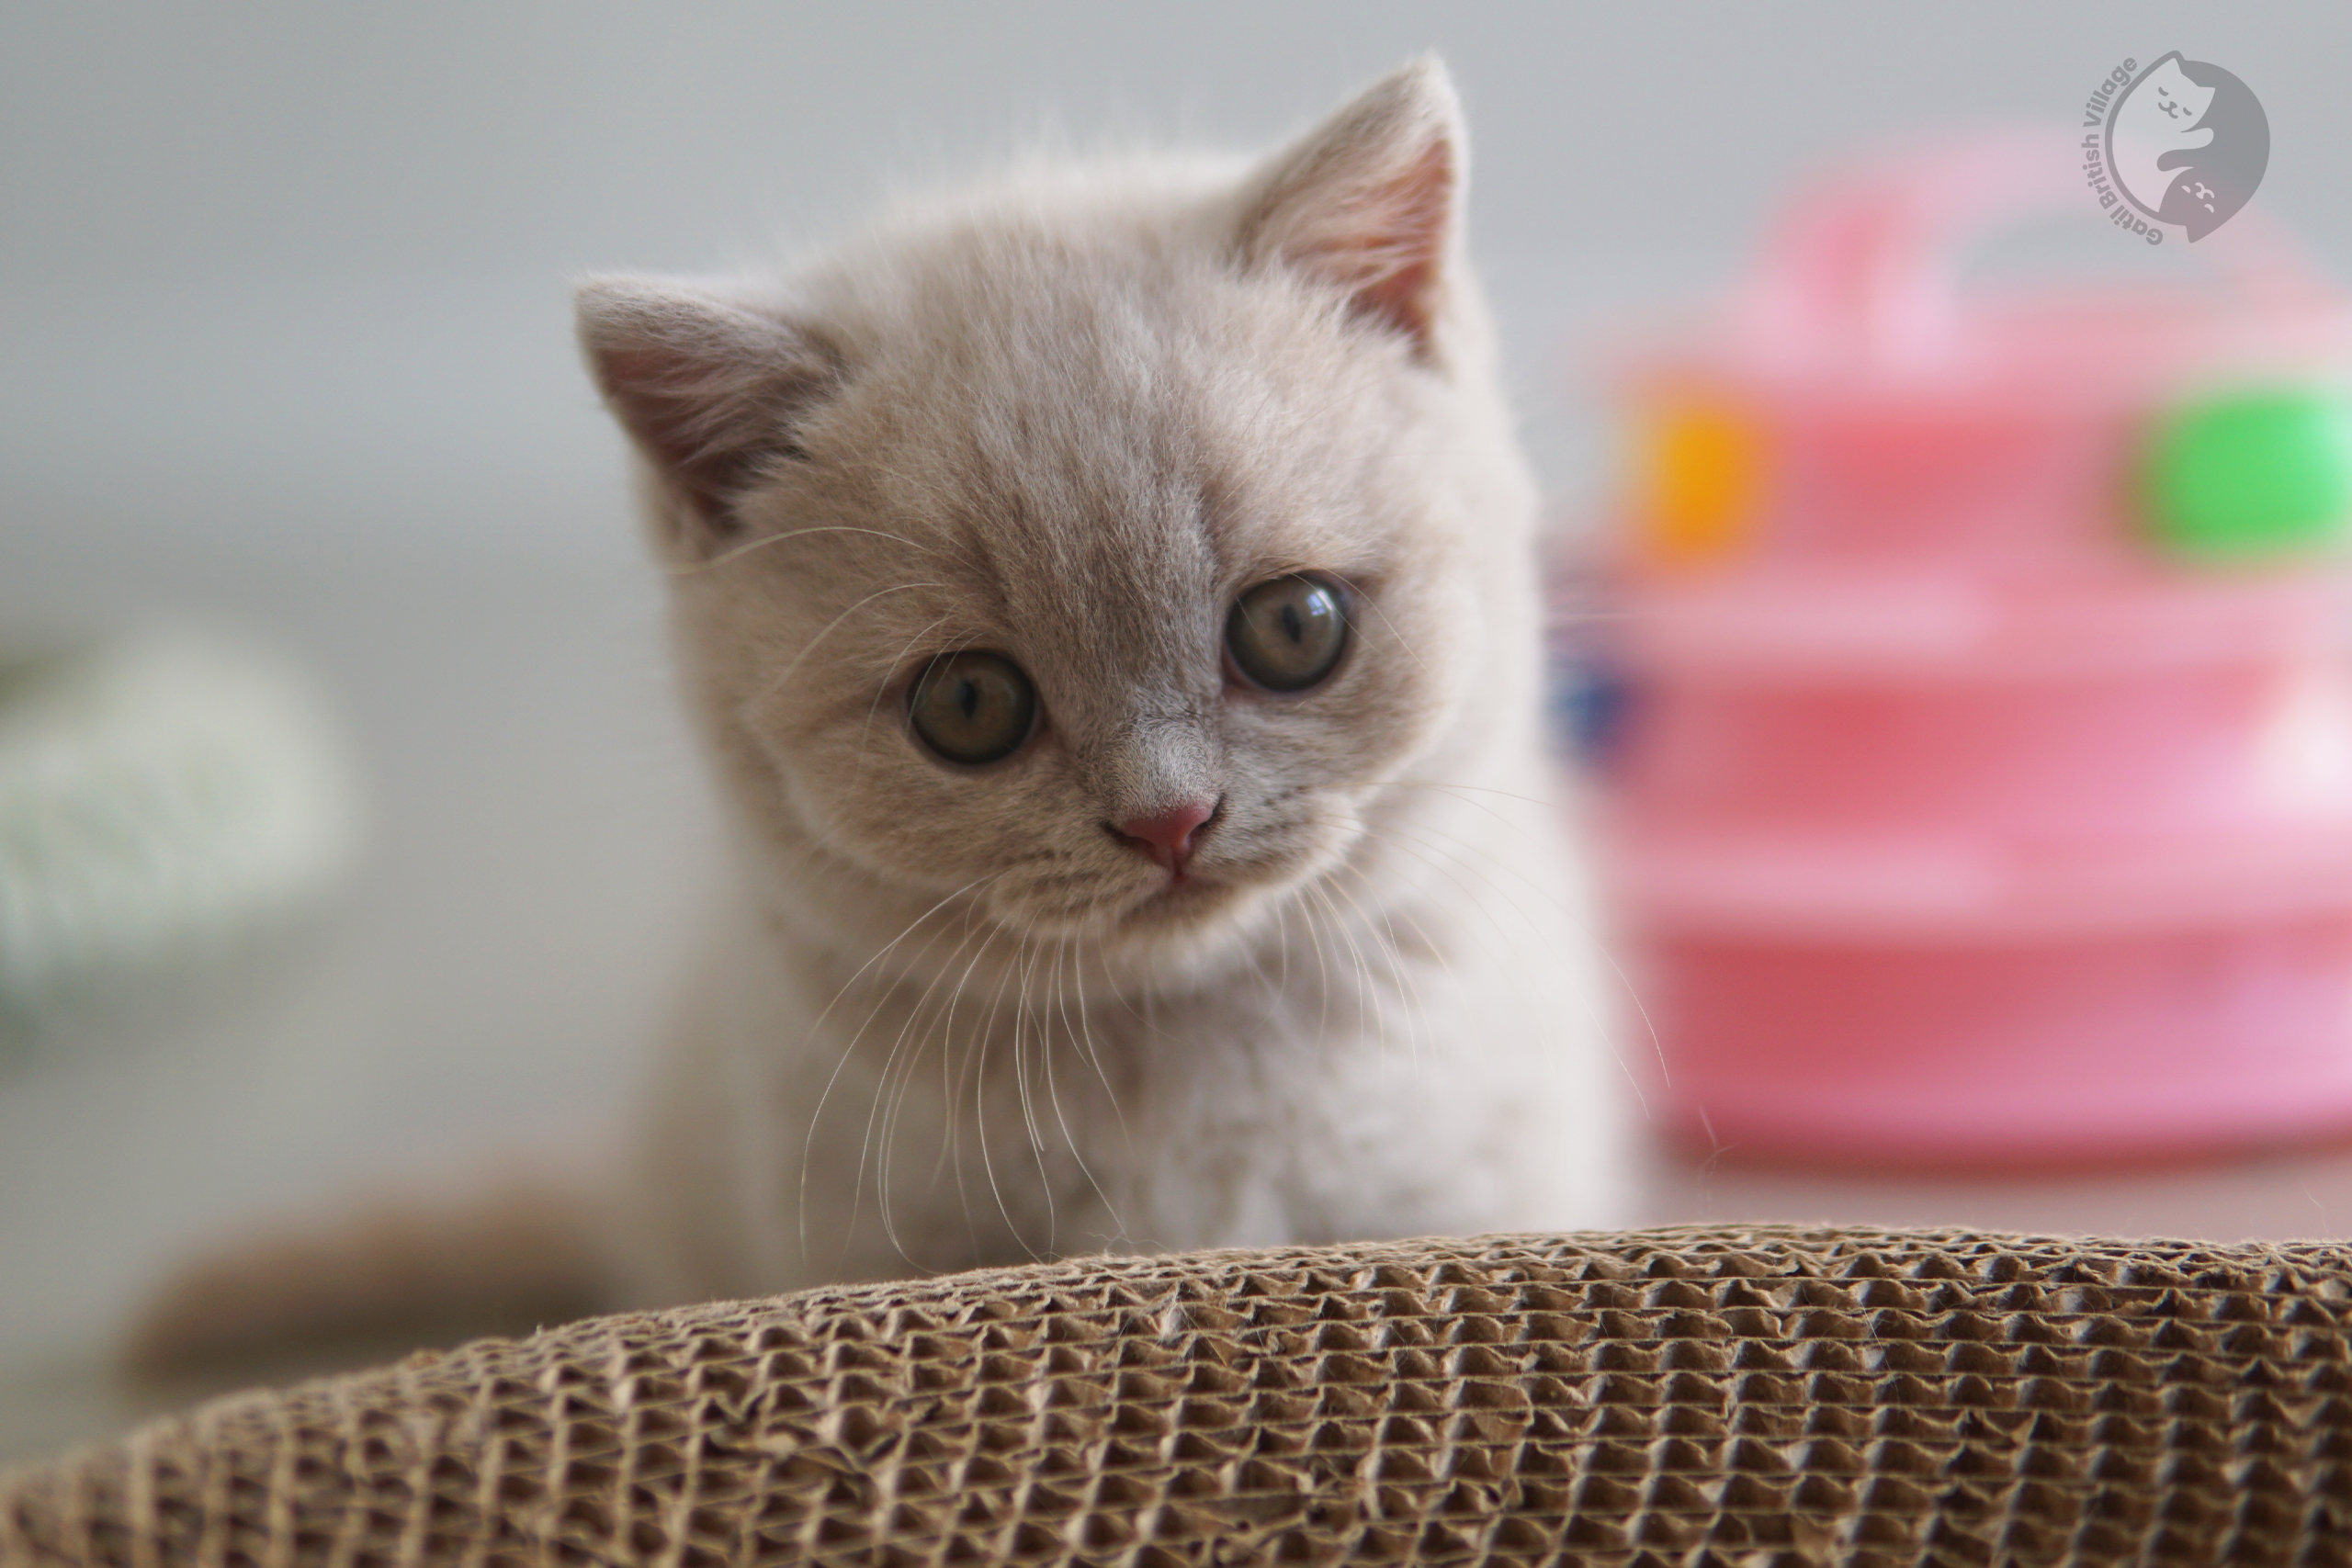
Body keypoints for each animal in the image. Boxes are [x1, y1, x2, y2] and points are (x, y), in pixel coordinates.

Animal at [578, 58, 1627, 1316]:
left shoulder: (1468, 1205)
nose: (1168, 818)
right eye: (968, 706)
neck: (1181, 1073)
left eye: (1294, 627)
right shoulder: (861, 1249)